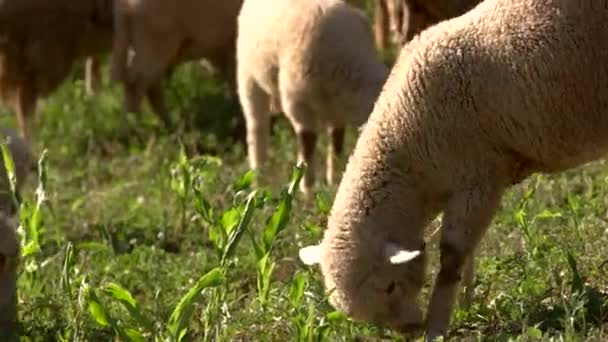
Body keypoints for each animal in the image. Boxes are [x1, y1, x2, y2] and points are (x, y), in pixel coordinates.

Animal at [110, 0, 243, 131]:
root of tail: (124, 6)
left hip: (142, 46)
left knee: (146, 85)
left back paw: (166, 126)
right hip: (155, 43)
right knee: (136, 84)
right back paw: (134, 128)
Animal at [235, 0, 388, 195]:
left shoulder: (338, 112)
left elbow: (336, 146)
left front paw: (334, 180)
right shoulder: (299, 107)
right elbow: (307, 152)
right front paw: (307, 191)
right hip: (249, 75)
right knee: (256, 129)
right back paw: (258, 179)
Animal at [296, 0, 608, 338]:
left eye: (390, 286)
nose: (409, 331)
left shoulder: (478, 179)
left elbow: (451, 256)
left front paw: (438, 325)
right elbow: (468, 253)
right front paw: (468, 303)